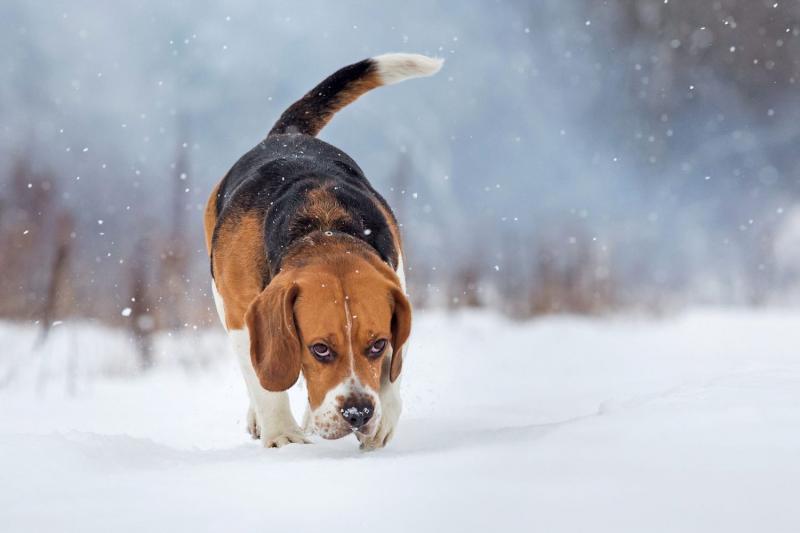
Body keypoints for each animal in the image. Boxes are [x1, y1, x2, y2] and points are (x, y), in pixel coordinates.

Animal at [203, 54, 444, 446]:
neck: (322, 227)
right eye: (320, 349)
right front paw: (283, 436)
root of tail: (286, 134)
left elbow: (393, 367)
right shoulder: (240, 314)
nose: (359, 413)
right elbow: (265, 382)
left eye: (377, 344)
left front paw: (383, 417)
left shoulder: (398, 285)